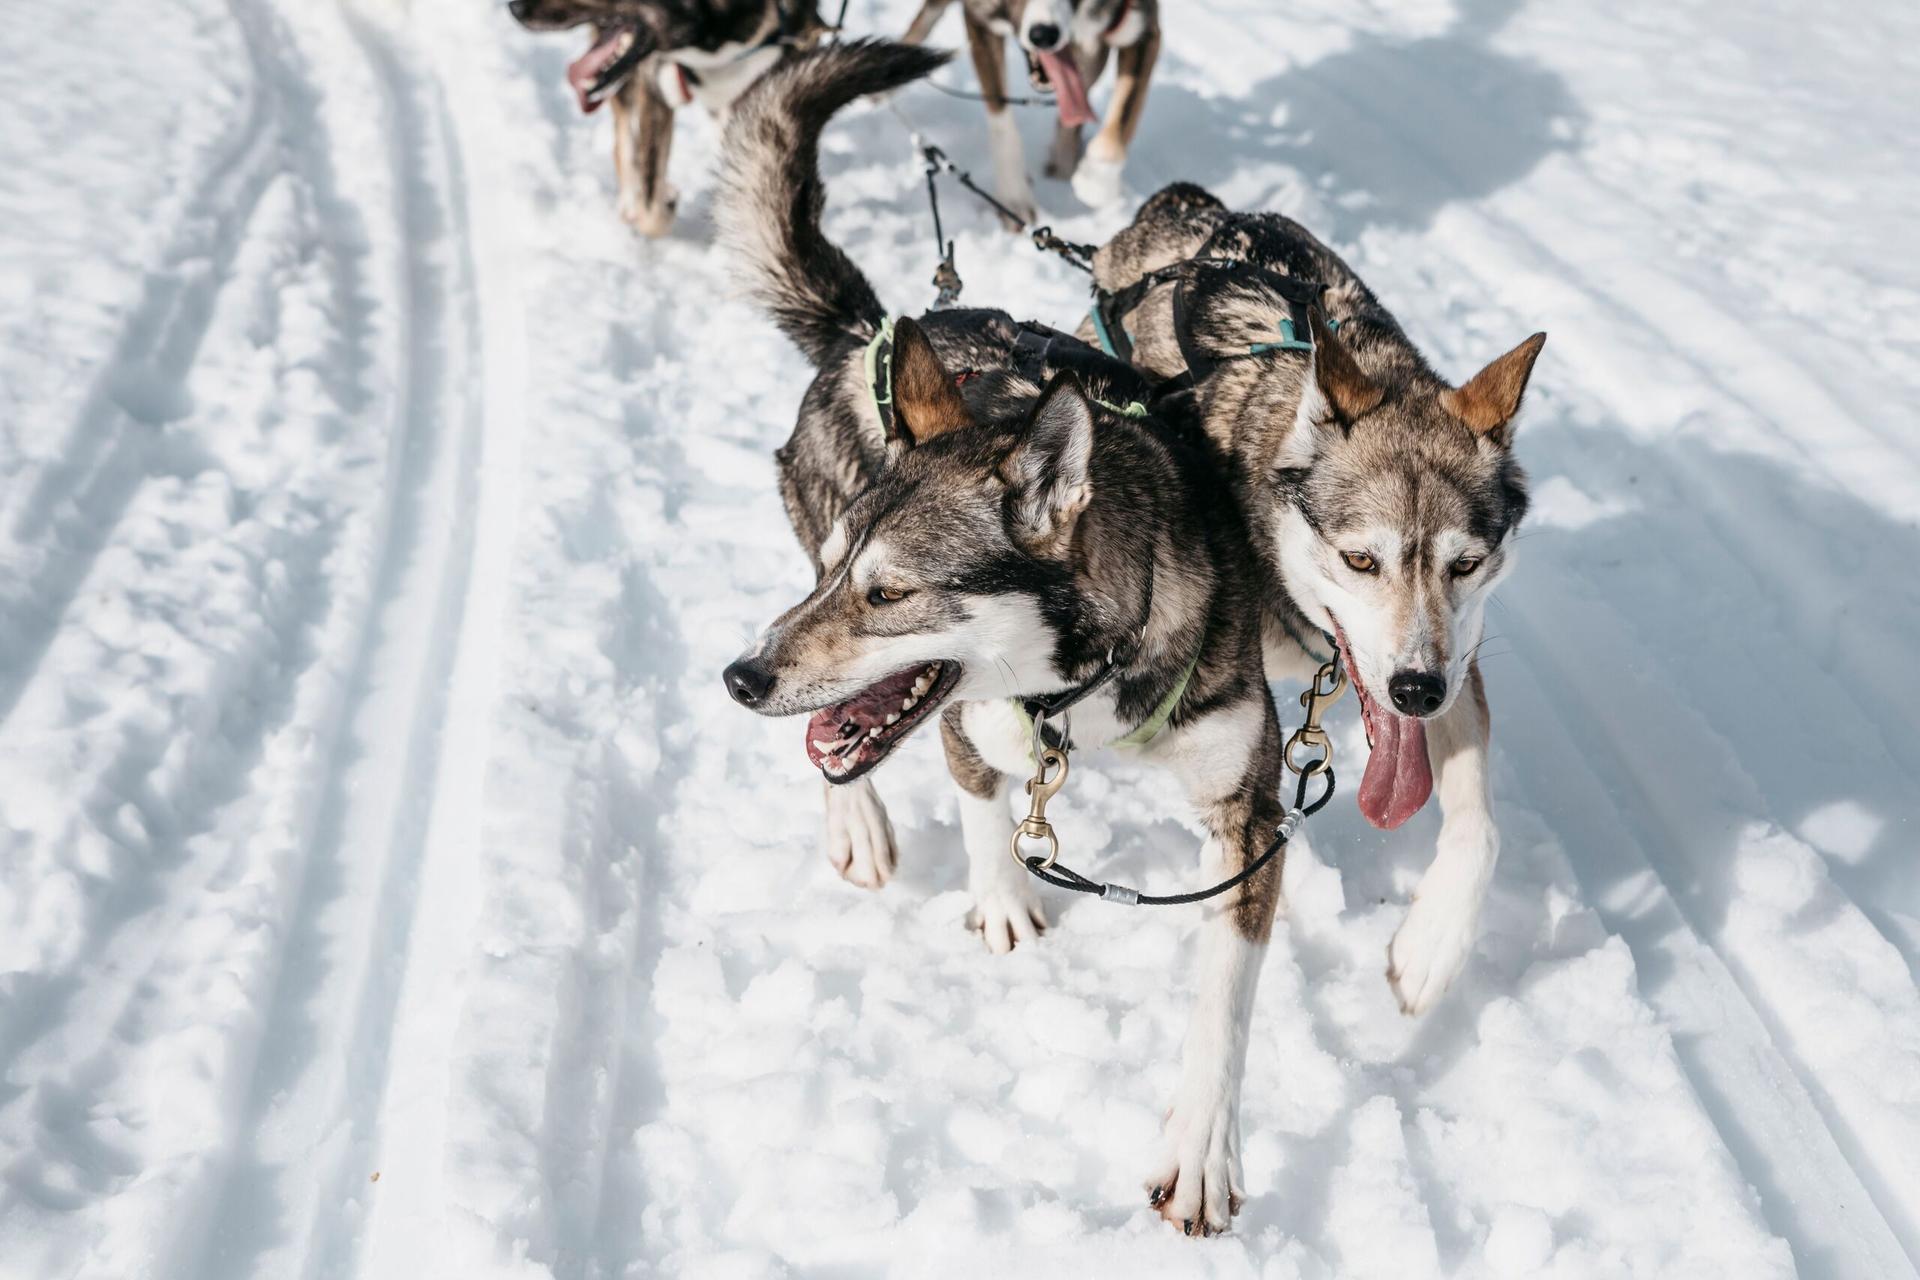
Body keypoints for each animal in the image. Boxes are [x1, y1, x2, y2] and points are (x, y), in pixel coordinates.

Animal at [898, 0, 1152, 218]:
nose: (1044, 35)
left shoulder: (1142, 29)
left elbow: (1123, 115)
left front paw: (1096, 180)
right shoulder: (980, 20)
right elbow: (1001, 118)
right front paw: (1014, 197)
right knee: (920, 24)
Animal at [1082, 185, 1543, 1013]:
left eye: (1465, 563)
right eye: (1360, 558)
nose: (1416, 693)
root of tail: (1184, 204)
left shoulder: (1458, 658)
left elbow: (1479, 827)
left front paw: (1433, 945)